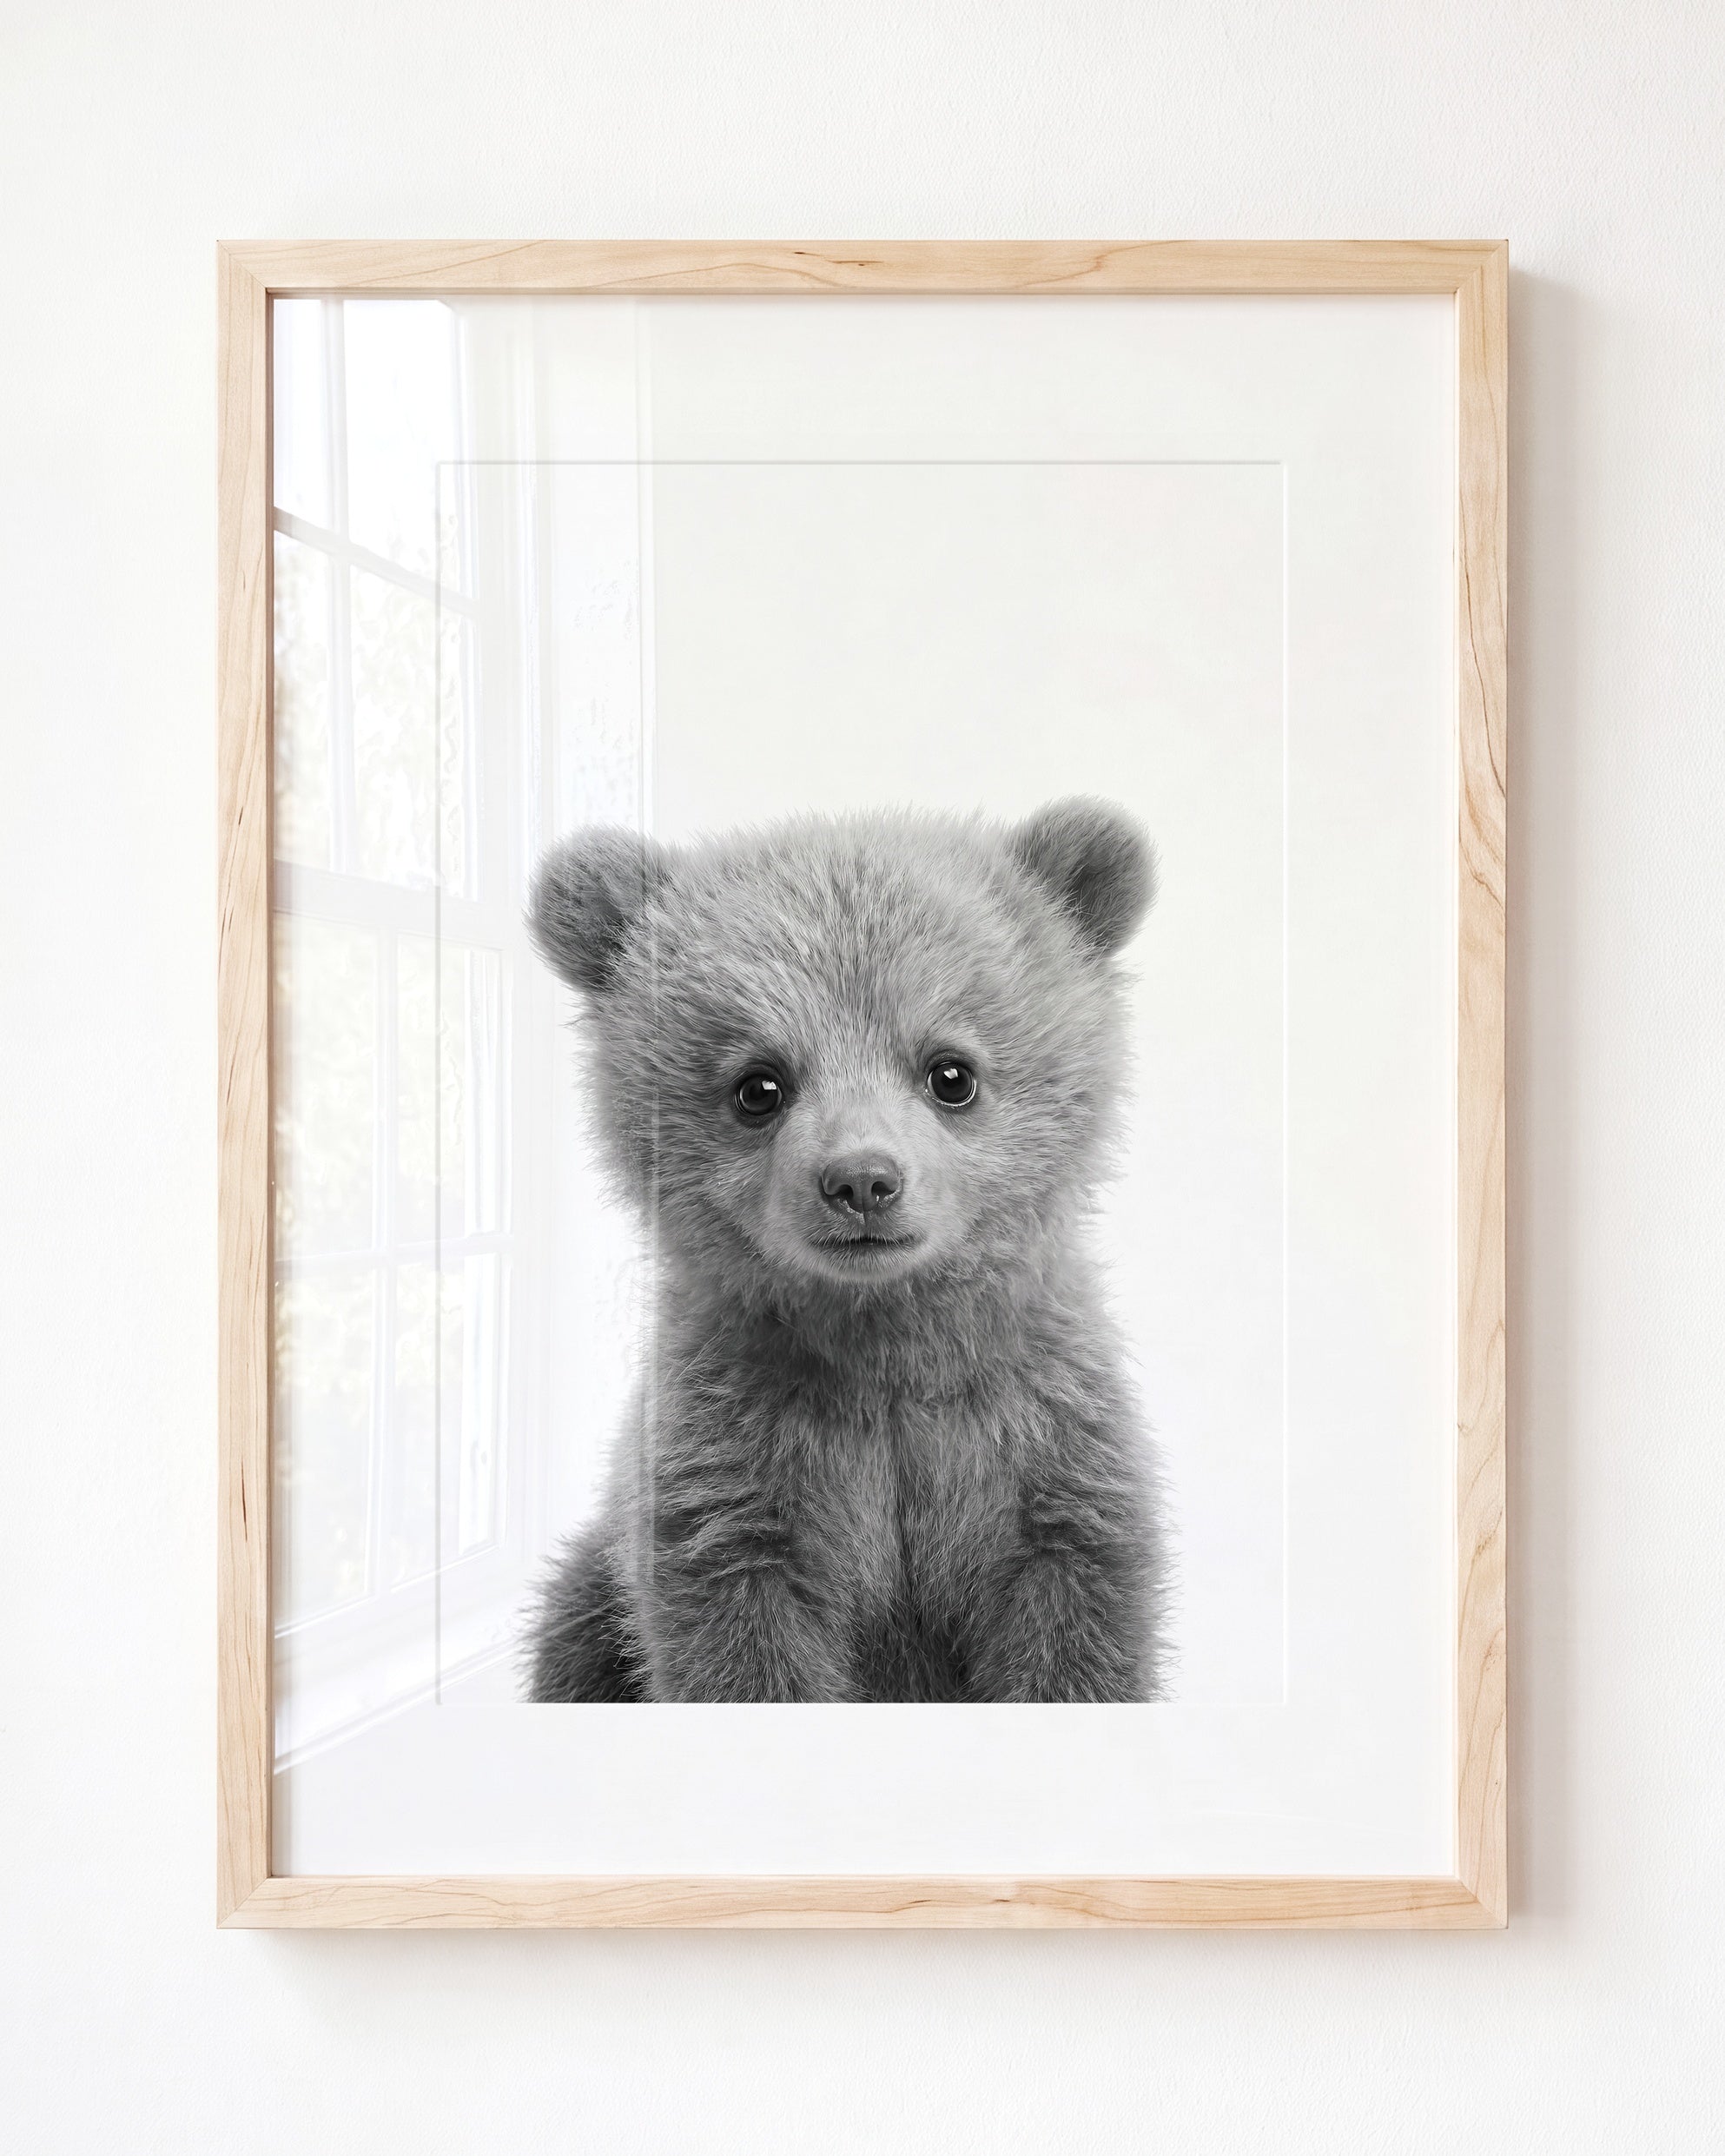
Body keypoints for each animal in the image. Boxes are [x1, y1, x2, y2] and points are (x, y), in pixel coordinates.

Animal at [521, 797, 1171, 1703]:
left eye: (951, 1072)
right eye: (758, 1085)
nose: (862, 1181)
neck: (884, 1346)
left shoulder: (1040, 1452)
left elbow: (1074, 1635)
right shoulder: (737, 1475)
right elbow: (743, 1649)